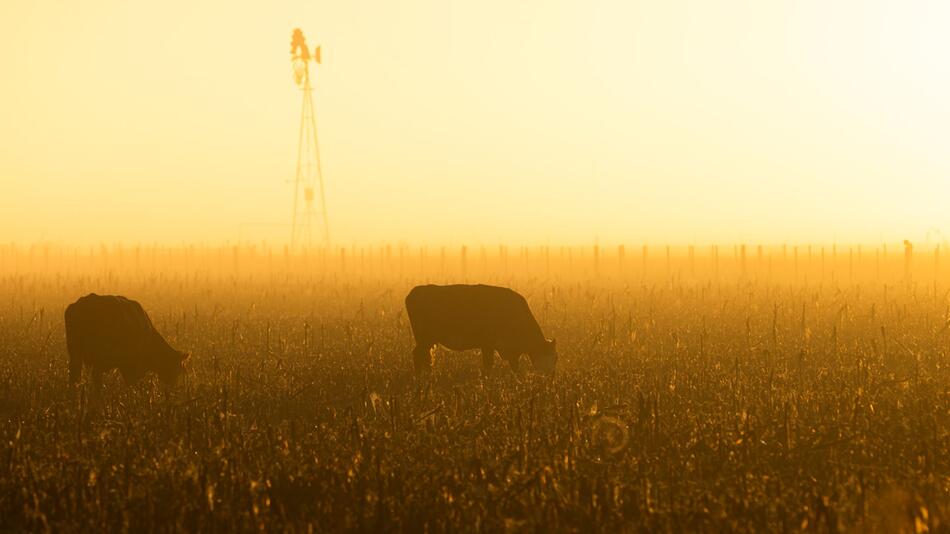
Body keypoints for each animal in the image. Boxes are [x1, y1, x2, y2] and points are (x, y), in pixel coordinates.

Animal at [404, 284, 556, 376]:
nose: (551, 376)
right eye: (552, 357)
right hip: (425, 339)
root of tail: (414, 292)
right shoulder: (489, 345)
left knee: (424, 357)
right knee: (418, 355)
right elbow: (489, 364)